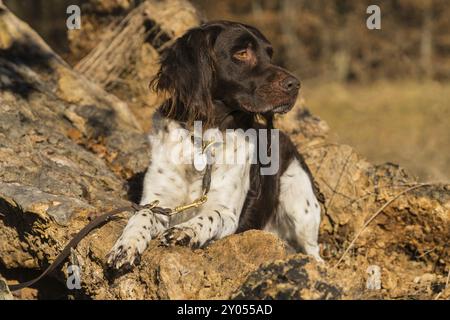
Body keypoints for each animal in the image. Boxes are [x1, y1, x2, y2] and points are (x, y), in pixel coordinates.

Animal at [107, 20, 326, 270]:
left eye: (269, 54)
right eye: (242, 53)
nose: (295, 85)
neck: (204, 140)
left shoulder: (228, 214)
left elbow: (210, 216)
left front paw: (185, 230)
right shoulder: (159, 201)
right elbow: (142, 215)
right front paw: (126, 245)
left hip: (300, 203)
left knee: (314, 251)